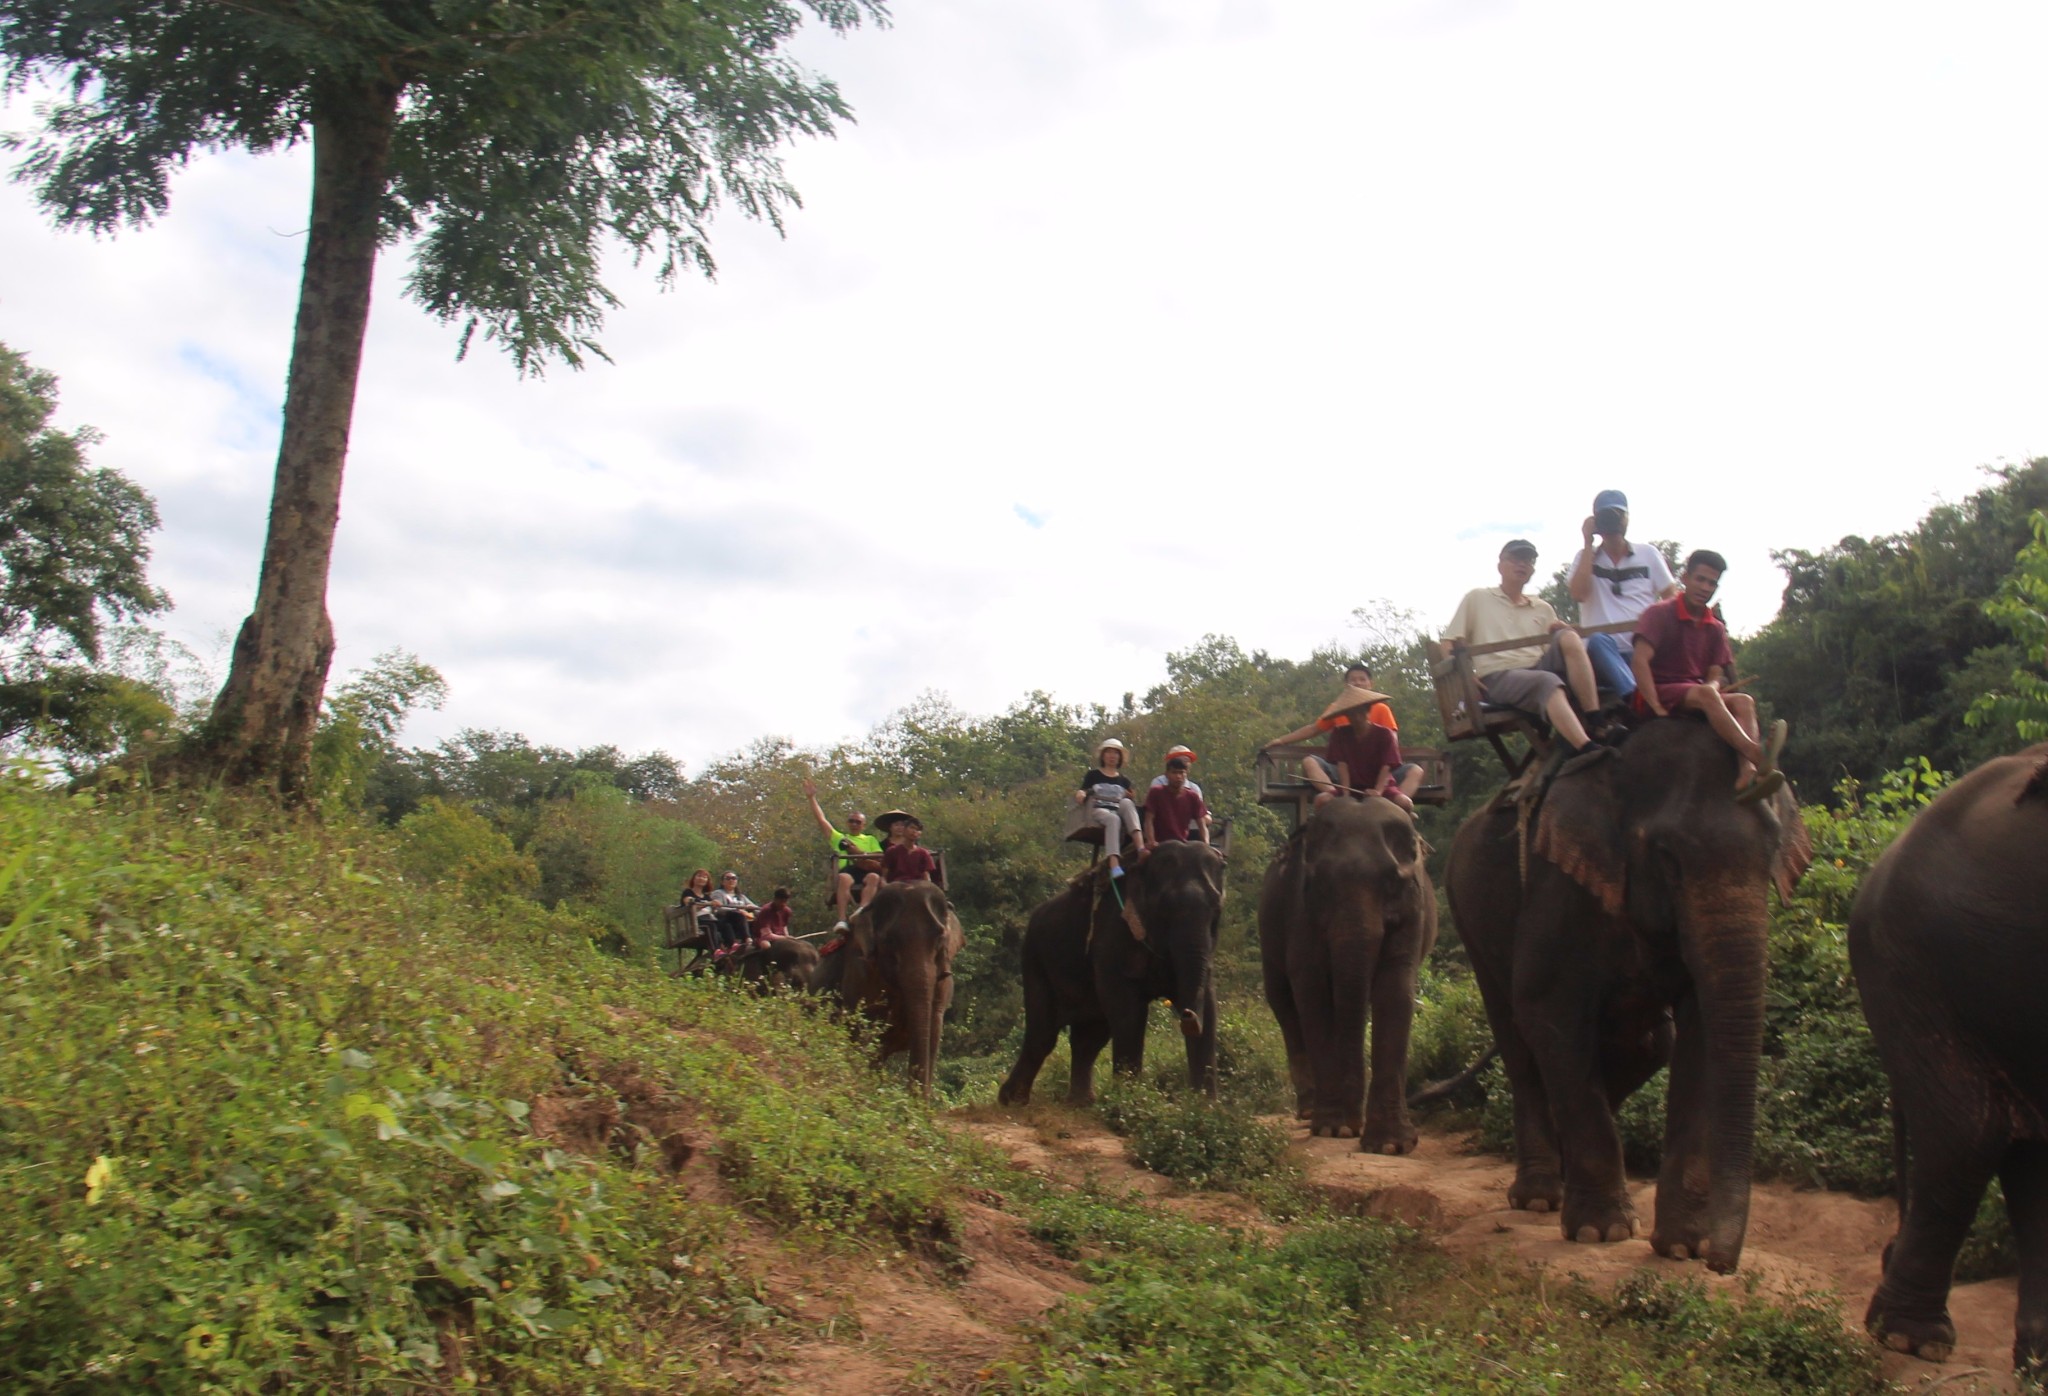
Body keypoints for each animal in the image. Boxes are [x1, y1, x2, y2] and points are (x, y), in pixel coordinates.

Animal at [815, 876, 966, 1088]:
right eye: (889, 941)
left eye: (940, 938)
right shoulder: (859, 973)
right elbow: (863, 1030)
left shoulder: (942, 985)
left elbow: (933, 1036)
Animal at [995, 831, 1220, 1105]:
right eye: (1165, 907)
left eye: (1216, 909)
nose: (1186, 1015)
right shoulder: (1112, 931)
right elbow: (1128, 1010)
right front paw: (1129, 1101)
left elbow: (1208, 1005)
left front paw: (1206, 1105)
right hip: (1034, 957)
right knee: (1043, 1032)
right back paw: (1013, 1100)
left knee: (1089, 1036)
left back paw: (1081, 1103)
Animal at [1261, 790, 1441, 1146]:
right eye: (1319, 883)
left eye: (1391, 882)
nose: (1353, 1126)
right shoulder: (1299, 911)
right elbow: (1312, 991)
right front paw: (1332, 1129)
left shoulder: (1413, 910)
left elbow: (1395, 989)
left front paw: (1391, 1144)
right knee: (1285, 1006)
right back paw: (1309, 1112)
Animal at [1441, 716, 1810, 1269]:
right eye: (1668, 858)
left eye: (1772, 856)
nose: (1722, 1264)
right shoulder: (1559, 888)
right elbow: (1546, 1011)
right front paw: (1602, 1231)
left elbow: (1699, 1031)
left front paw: (1683, 1246)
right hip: (1466, 913)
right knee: (1516, 1039)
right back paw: (1538, 1197)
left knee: (1647, 1044)